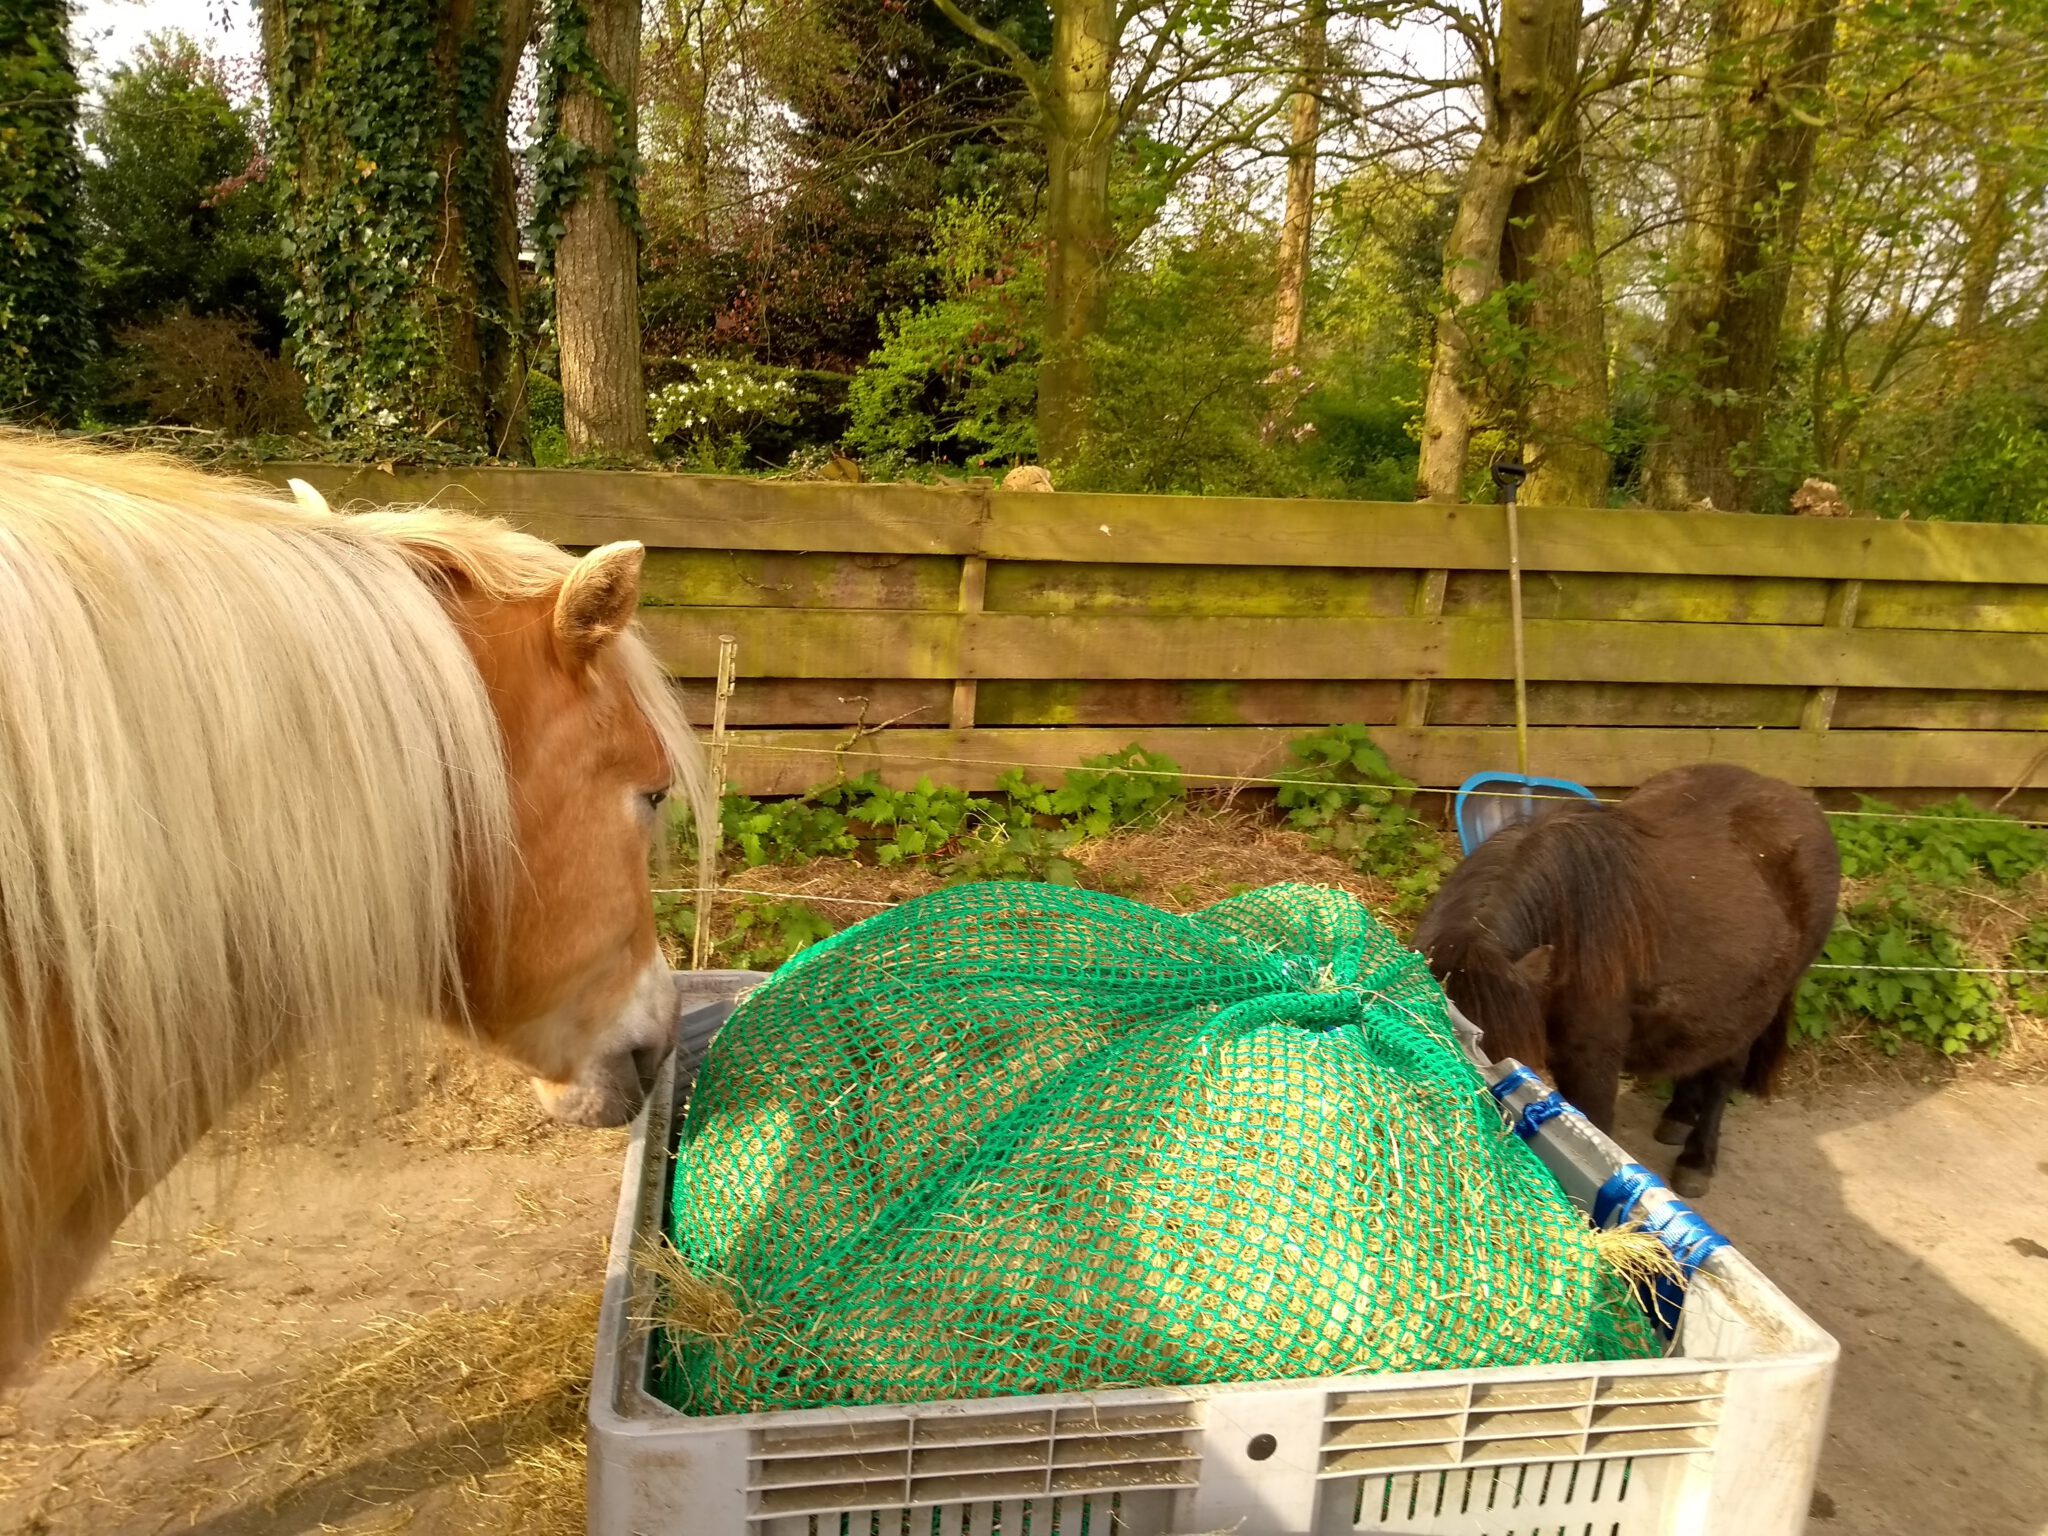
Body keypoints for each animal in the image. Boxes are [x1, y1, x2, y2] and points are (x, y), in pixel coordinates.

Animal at [1412, 762, 1840, 1198]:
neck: (1566, 927)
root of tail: (1802, 801)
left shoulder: (1590, 1061)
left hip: (1755, 1009)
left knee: (1724, 1074)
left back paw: (1697, 1160)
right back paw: (1678, 1114)